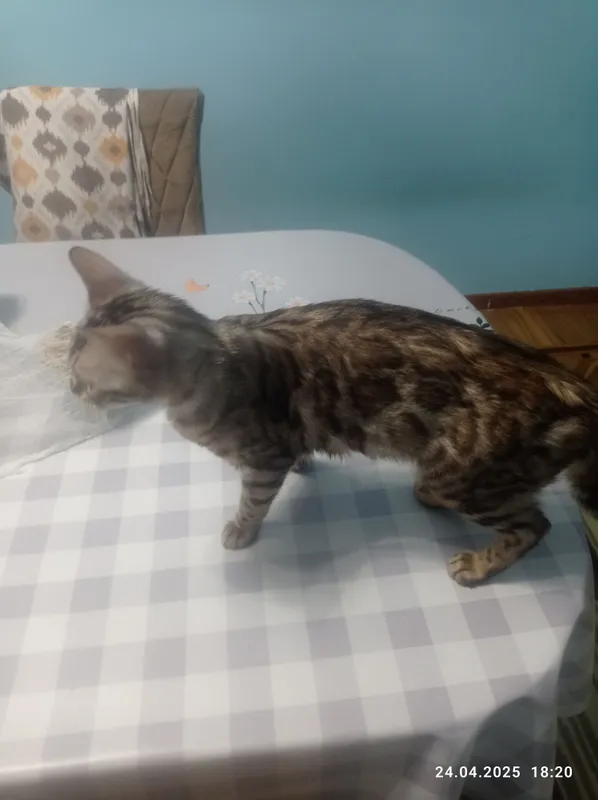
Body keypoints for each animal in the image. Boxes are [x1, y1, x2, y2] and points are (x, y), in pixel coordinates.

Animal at [66, 245, 598, 586]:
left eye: (80, 379)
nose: (71, 394)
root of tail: (576, 390)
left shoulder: (264, 458)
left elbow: (253, 501)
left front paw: (241, 529)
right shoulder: (285, 444)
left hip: (471, 478)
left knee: (533, 526)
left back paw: (478, 567)